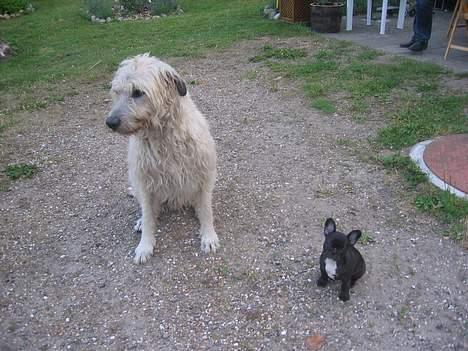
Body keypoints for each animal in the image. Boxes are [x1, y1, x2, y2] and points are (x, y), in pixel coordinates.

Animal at [107, 54, 220, 264]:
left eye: (138, 92)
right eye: (117, 92)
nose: (110, 122)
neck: (163, 136)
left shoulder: (204, 175)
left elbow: (207, 210)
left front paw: (208, 236)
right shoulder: (144, 181)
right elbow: (148, 216)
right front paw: (145, 245)